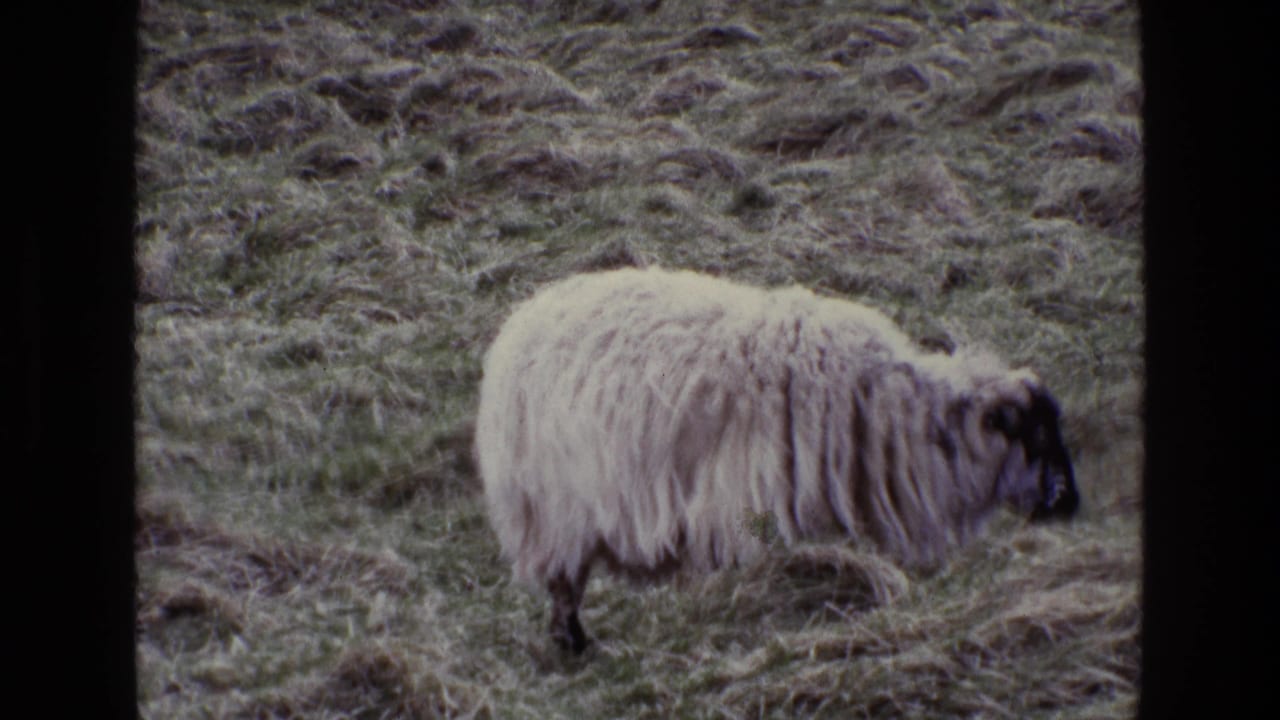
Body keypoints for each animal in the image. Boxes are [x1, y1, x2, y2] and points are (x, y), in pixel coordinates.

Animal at [475, 266, 1078, 653]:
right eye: (1034, 434)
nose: (1070, 504)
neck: (883, 407)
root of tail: (517, 328)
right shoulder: (737, 498)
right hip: (555, 509)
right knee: (563, 582)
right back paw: (572, 643)